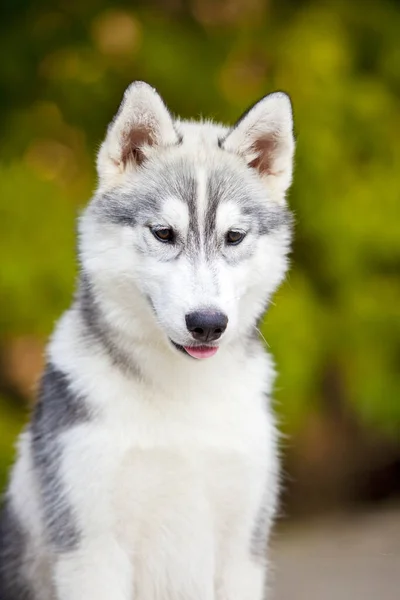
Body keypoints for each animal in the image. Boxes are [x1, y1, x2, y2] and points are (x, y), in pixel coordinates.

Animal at [0, 81, 294, 600]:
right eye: (163, 233)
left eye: (234, 236)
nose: (207, 323)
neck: (182, 397)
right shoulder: (91, 551)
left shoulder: (242, 552)